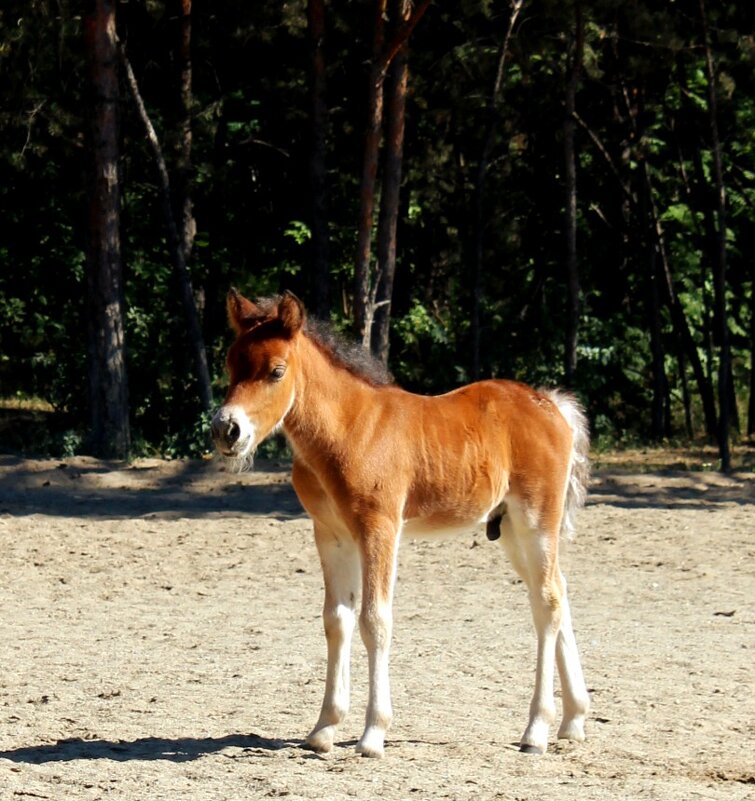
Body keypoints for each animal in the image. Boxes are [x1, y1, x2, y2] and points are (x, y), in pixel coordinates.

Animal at [211, 290, 592, 756]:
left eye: (276, 371)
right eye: (230, 365)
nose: (227, 430)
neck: (348, 431)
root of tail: (551, 404)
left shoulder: (379, 527)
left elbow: (375, 619)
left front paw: (373, 733)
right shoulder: (331, 535)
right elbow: (336, 619)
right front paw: (324, 728)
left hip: (536, 518)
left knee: (548, 600)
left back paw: (537, 729)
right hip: (509, 530)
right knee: (556, 591)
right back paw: (572, 720)